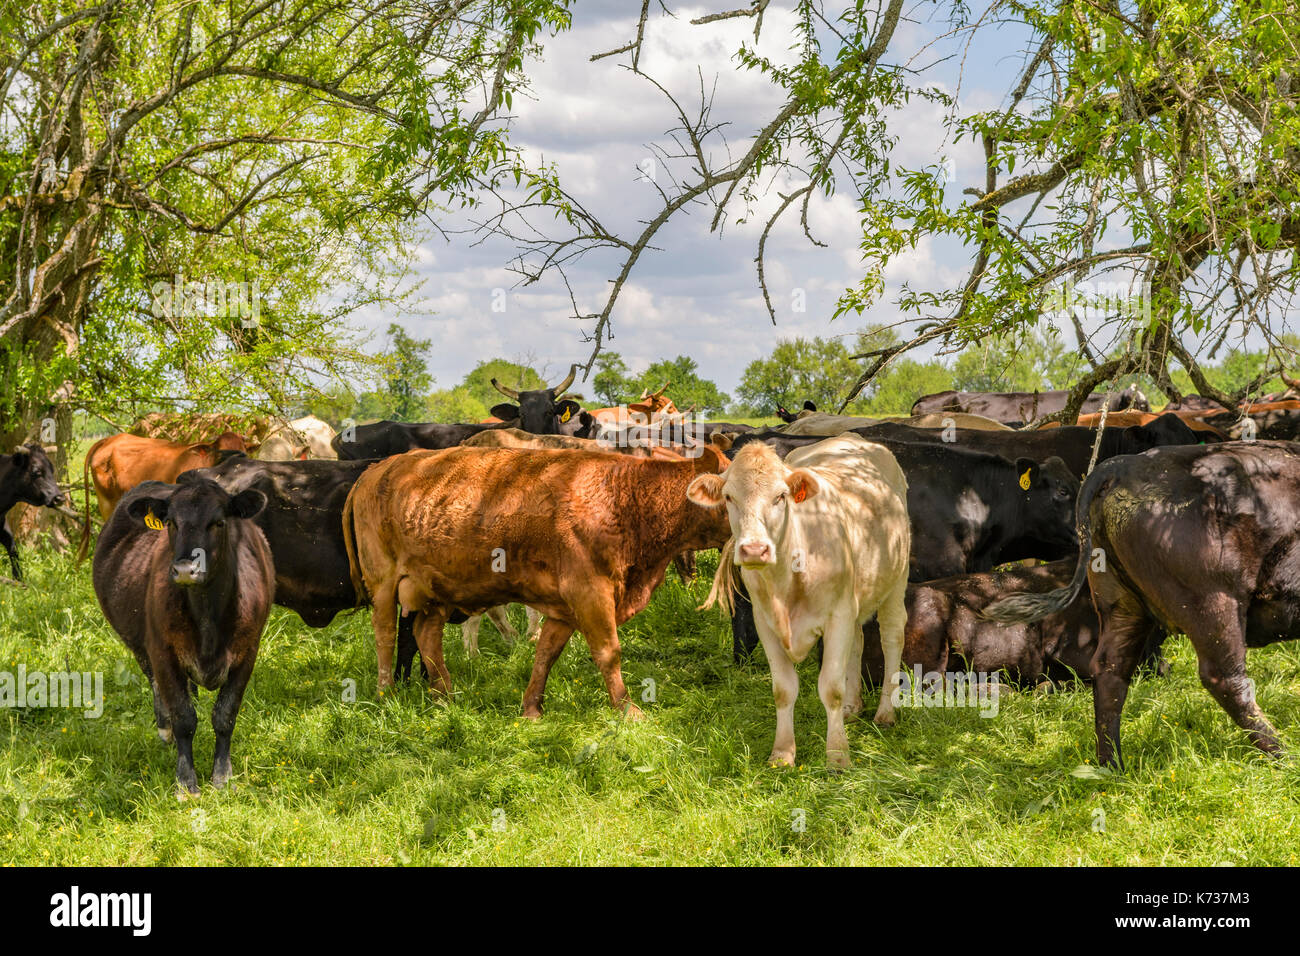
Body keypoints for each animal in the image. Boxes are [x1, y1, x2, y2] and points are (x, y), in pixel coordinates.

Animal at [92, 476, 274, 794]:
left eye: (219, 522)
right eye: (171, 522)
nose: (186, 569)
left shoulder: (248, 652)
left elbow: (225, 715)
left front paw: (222, 776)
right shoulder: (162, 652)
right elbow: (184, 718)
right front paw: (187, 783)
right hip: (141, 647)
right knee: (156, 686)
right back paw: (164, 728)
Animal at [342, 445, 732, 714]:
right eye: (731, 495)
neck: (622, 496)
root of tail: (378, 468)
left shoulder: (564, 608)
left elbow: (546, 653)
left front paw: (532, 708)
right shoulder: (590, 593)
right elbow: (609, 653)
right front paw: (627, 710)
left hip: (435, 590)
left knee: (426, 636)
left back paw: (444, 697)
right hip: (383, 585)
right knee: (385, 637)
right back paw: (386, 693)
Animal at [688, 435, 911, 768]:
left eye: (781, 496)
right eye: (729, 497)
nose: (754, 550)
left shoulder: (838, 616)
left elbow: (831, 688)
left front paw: (837, 756)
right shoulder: (765, 622)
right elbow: (783, 690)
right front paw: (782, 753)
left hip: (897, 580)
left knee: (892, 637)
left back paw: (886, 712)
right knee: (858, 642)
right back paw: (852, 707)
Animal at [984, 440, 1300, 766]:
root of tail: (1123, 466)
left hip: (1120, 604)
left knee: (1111, 670)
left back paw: (1111, 764)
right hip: (1215, 605)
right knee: (1225, 677)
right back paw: (1284, 754)